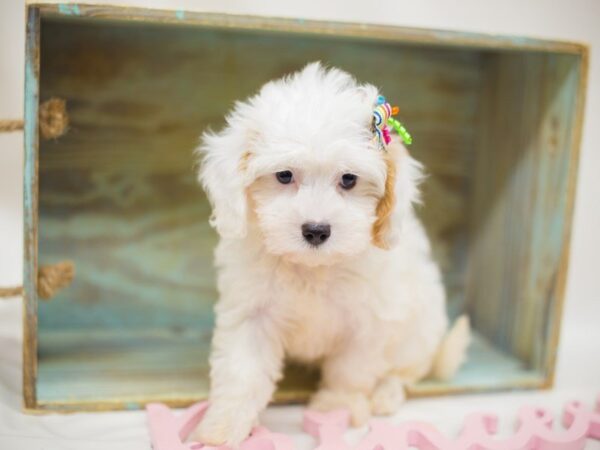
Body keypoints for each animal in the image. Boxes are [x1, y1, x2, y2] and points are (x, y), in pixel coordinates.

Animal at [195, 63, 472, 446]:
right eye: (284, 175)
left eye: (349, 179)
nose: (316, 230)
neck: (312, 267)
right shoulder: (251, 312)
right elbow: (241, 370)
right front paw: (224, 426)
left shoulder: (369, 320)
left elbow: (351, 370)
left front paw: (335, 409)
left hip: (419, 328)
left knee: (407, 371)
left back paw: (386, 393)